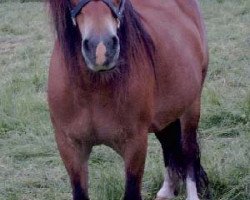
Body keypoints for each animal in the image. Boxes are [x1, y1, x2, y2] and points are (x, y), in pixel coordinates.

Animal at [47, 0, 209, 200]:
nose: (101, 49)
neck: (93, 88)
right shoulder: (70, 146)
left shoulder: (134, 144)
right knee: (168, 143)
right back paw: (166, 190)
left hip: (191, 106)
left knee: (188, 149)